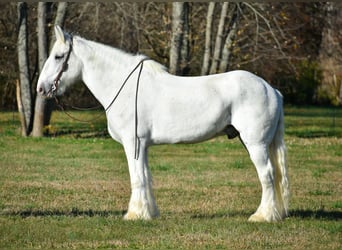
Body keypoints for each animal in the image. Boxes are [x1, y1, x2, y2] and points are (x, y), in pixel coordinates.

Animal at [36, 25, 288, 223]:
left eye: (58, 56)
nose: (40, 88)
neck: (123, 86)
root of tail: (271, 89)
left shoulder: (133, 143)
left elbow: (136, 178)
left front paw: (134, 214)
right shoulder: (142, 146)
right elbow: (146, 177)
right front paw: (149, 213)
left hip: (255, 144)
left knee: (267, 175)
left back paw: (262, 216)